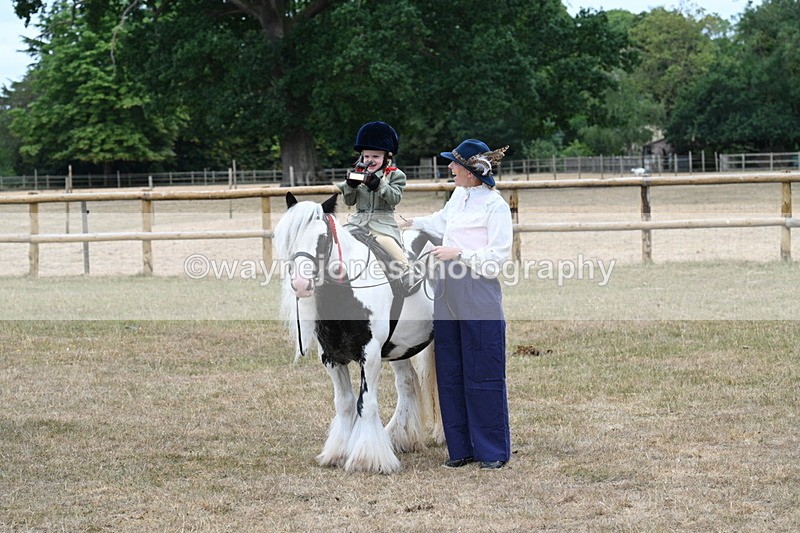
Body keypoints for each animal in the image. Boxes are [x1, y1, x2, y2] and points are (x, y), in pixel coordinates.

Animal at [273, 192, 442, 473]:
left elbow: (366, 403)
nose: (300, 284)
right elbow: (344, 403)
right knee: (407, 384)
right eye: (288, 236)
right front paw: (338, 452)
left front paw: (368, 458)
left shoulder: (370, 355)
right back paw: (400, 437)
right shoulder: (331, 357)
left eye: (322, 238)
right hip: (399, 348)